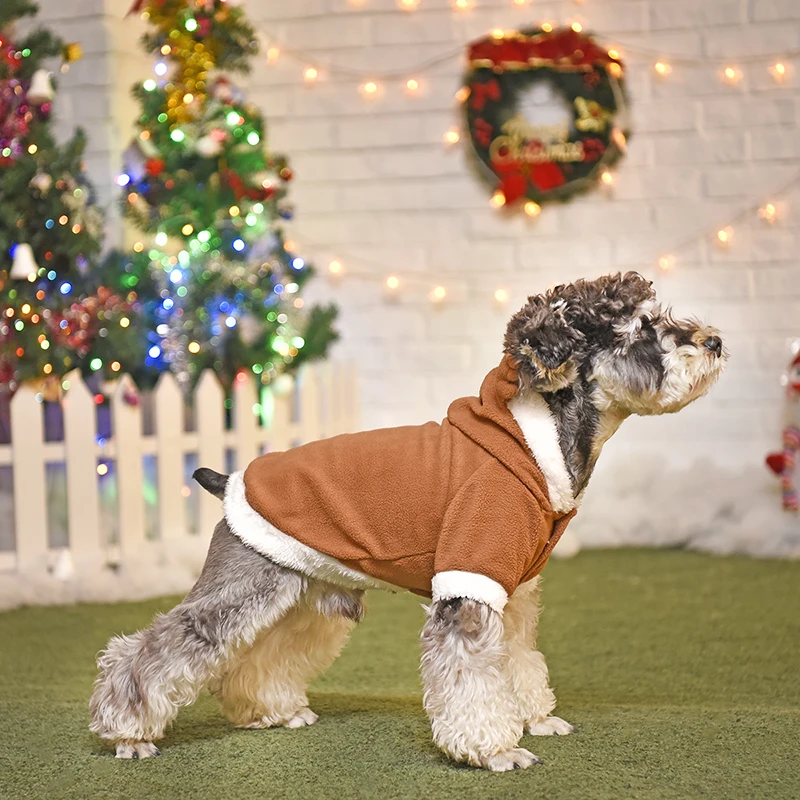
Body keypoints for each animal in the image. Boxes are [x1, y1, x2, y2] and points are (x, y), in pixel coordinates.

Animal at [90, 274, 728, 768]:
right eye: (640, 328)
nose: (715, 340)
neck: (537, 444)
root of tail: (229, 482)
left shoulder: (515, 592)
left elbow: (519, 661)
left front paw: (534, 718)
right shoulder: (470, 586)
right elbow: (472, 679)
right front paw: (496, 750)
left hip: (305, 594)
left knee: (258, 656)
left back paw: (270, 711)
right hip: (243, 587)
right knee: (156, 648)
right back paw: (126, 732)